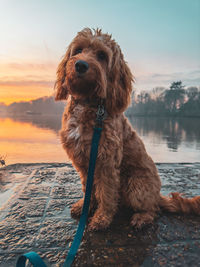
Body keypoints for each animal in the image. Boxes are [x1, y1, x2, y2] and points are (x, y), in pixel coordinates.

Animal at [55, 28, 200, 231]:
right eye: (78, 50)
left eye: (102, 55)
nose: (80, 65)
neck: (89, 104)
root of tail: (157, 195)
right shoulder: (83, 162)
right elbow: (88, 188)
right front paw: (85, 207)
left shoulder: (106, 161)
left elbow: (107, 193)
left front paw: (101, 218)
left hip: (136, 184)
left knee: (153, 209)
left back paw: (142, 218)